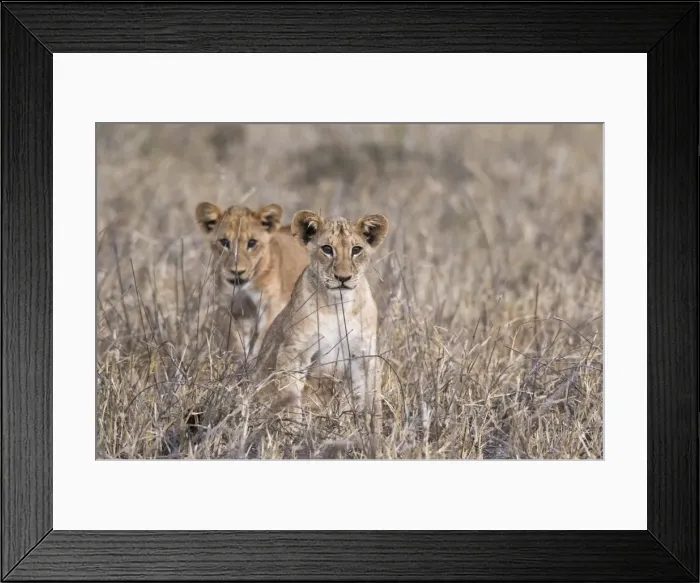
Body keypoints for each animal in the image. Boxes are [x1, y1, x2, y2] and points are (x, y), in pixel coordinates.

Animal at [195, 202, 309, 360]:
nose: (237, 272)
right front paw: (240, 361)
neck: (243, 287)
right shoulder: (232, 309)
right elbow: (235, 340)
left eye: (252, 243)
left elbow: (262, 339)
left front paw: (254, 361)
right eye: (224, 242)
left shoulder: (270, 306)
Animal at [252, 210, 389, 437]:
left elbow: (373, 401)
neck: (339, 305)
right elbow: (291, 400)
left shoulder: (365, 354)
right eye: (327, 249)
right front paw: (293, 435)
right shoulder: (293, 353)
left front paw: (375, 437)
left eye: (356, 250)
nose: (343, 278)